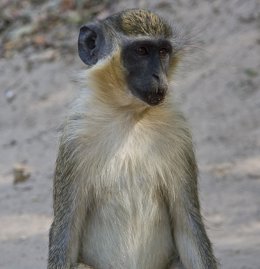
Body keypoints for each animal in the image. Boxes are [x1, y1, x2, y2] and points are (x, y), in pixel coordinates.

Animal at [47, 8, 218, 268]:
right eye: (141, 51)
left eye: (163, 52)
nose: (159, 76)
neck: (129, 115)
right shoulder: (74, 138)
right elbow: (66, 234)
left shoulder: (179, 134)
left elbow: (187, 226)